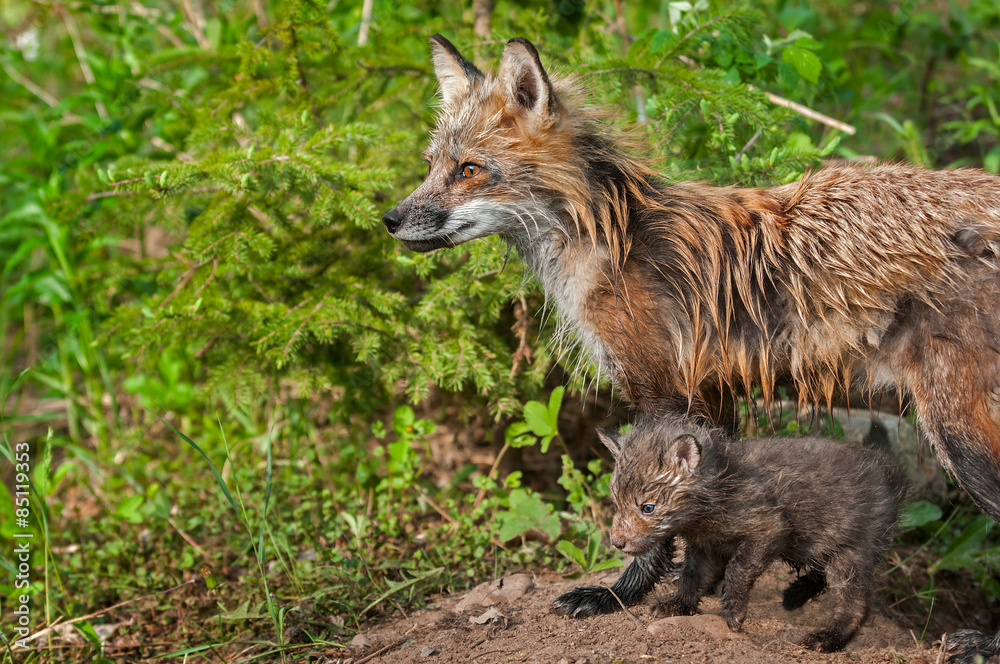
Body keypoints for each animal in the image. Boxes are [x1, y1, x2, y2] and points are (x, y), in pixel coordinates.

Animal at [589, 416, 906, 652]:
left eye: (648, 507)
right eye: (616, 503)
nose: (617, 543)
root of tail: (887, 471)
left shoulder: (770, 528)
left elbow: (737, 569)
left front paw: (732, 612)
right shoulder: (706, 547)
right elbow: (693, 578)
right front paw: (678, 605)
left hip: (851, 552)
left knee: (855, 604)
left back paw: (828, 639)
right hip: (818, 543)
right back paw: (796, 594)